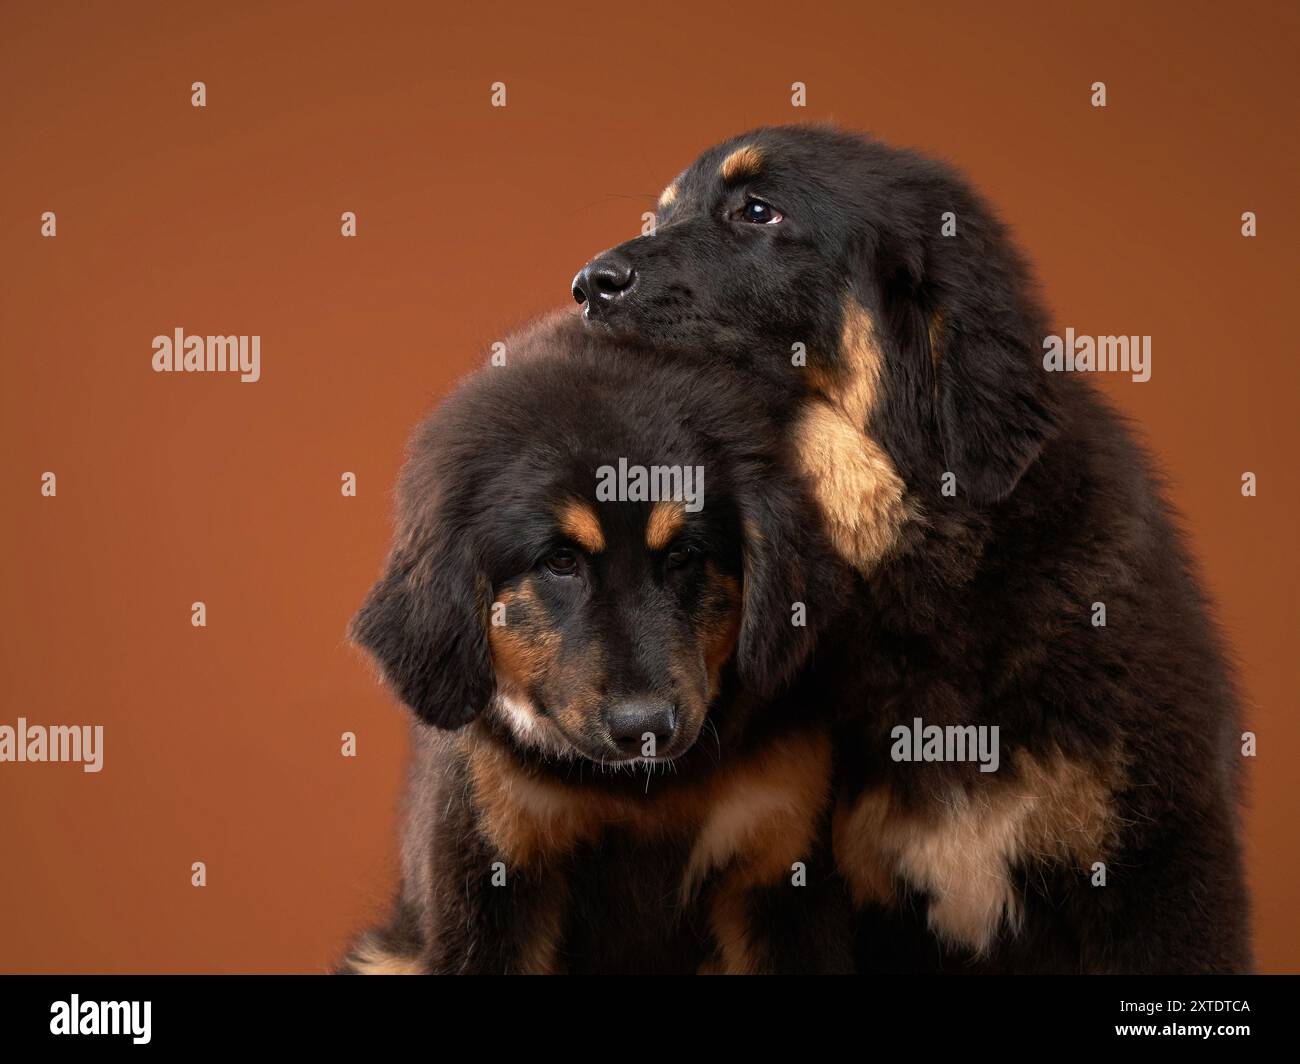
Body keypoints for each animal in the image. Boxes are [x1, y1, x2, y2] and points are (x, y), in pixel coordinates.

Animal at [340, 308, 857, 967]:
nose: (644, 729)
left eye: (683, 554)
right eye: (561, 561)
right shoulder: (491, 874)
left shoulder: (779, 864)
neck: (636, 790)